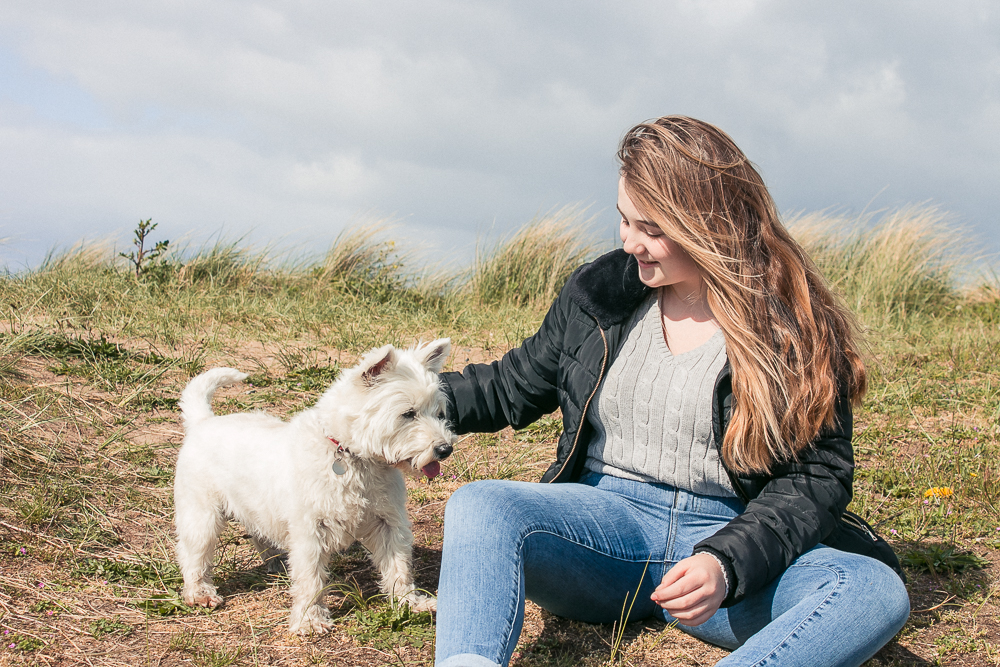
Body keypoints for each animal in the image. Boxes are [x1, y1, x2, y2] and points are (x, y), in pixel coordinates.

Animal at [174, 340, 456, 636]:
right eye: (408, 414)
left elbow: (399, 566)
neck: (352, 457)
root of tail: (203, 421)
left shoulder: (388, 521)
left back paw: (276, 562)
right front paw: (310, 619)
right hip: (201, 516)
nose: (445, 449)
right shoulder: (311, 529)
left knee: (260, 534)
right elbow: (311, 577)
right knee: (193, 555)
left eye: (439, 413)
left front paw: (410, 602)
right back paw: (200, 592)